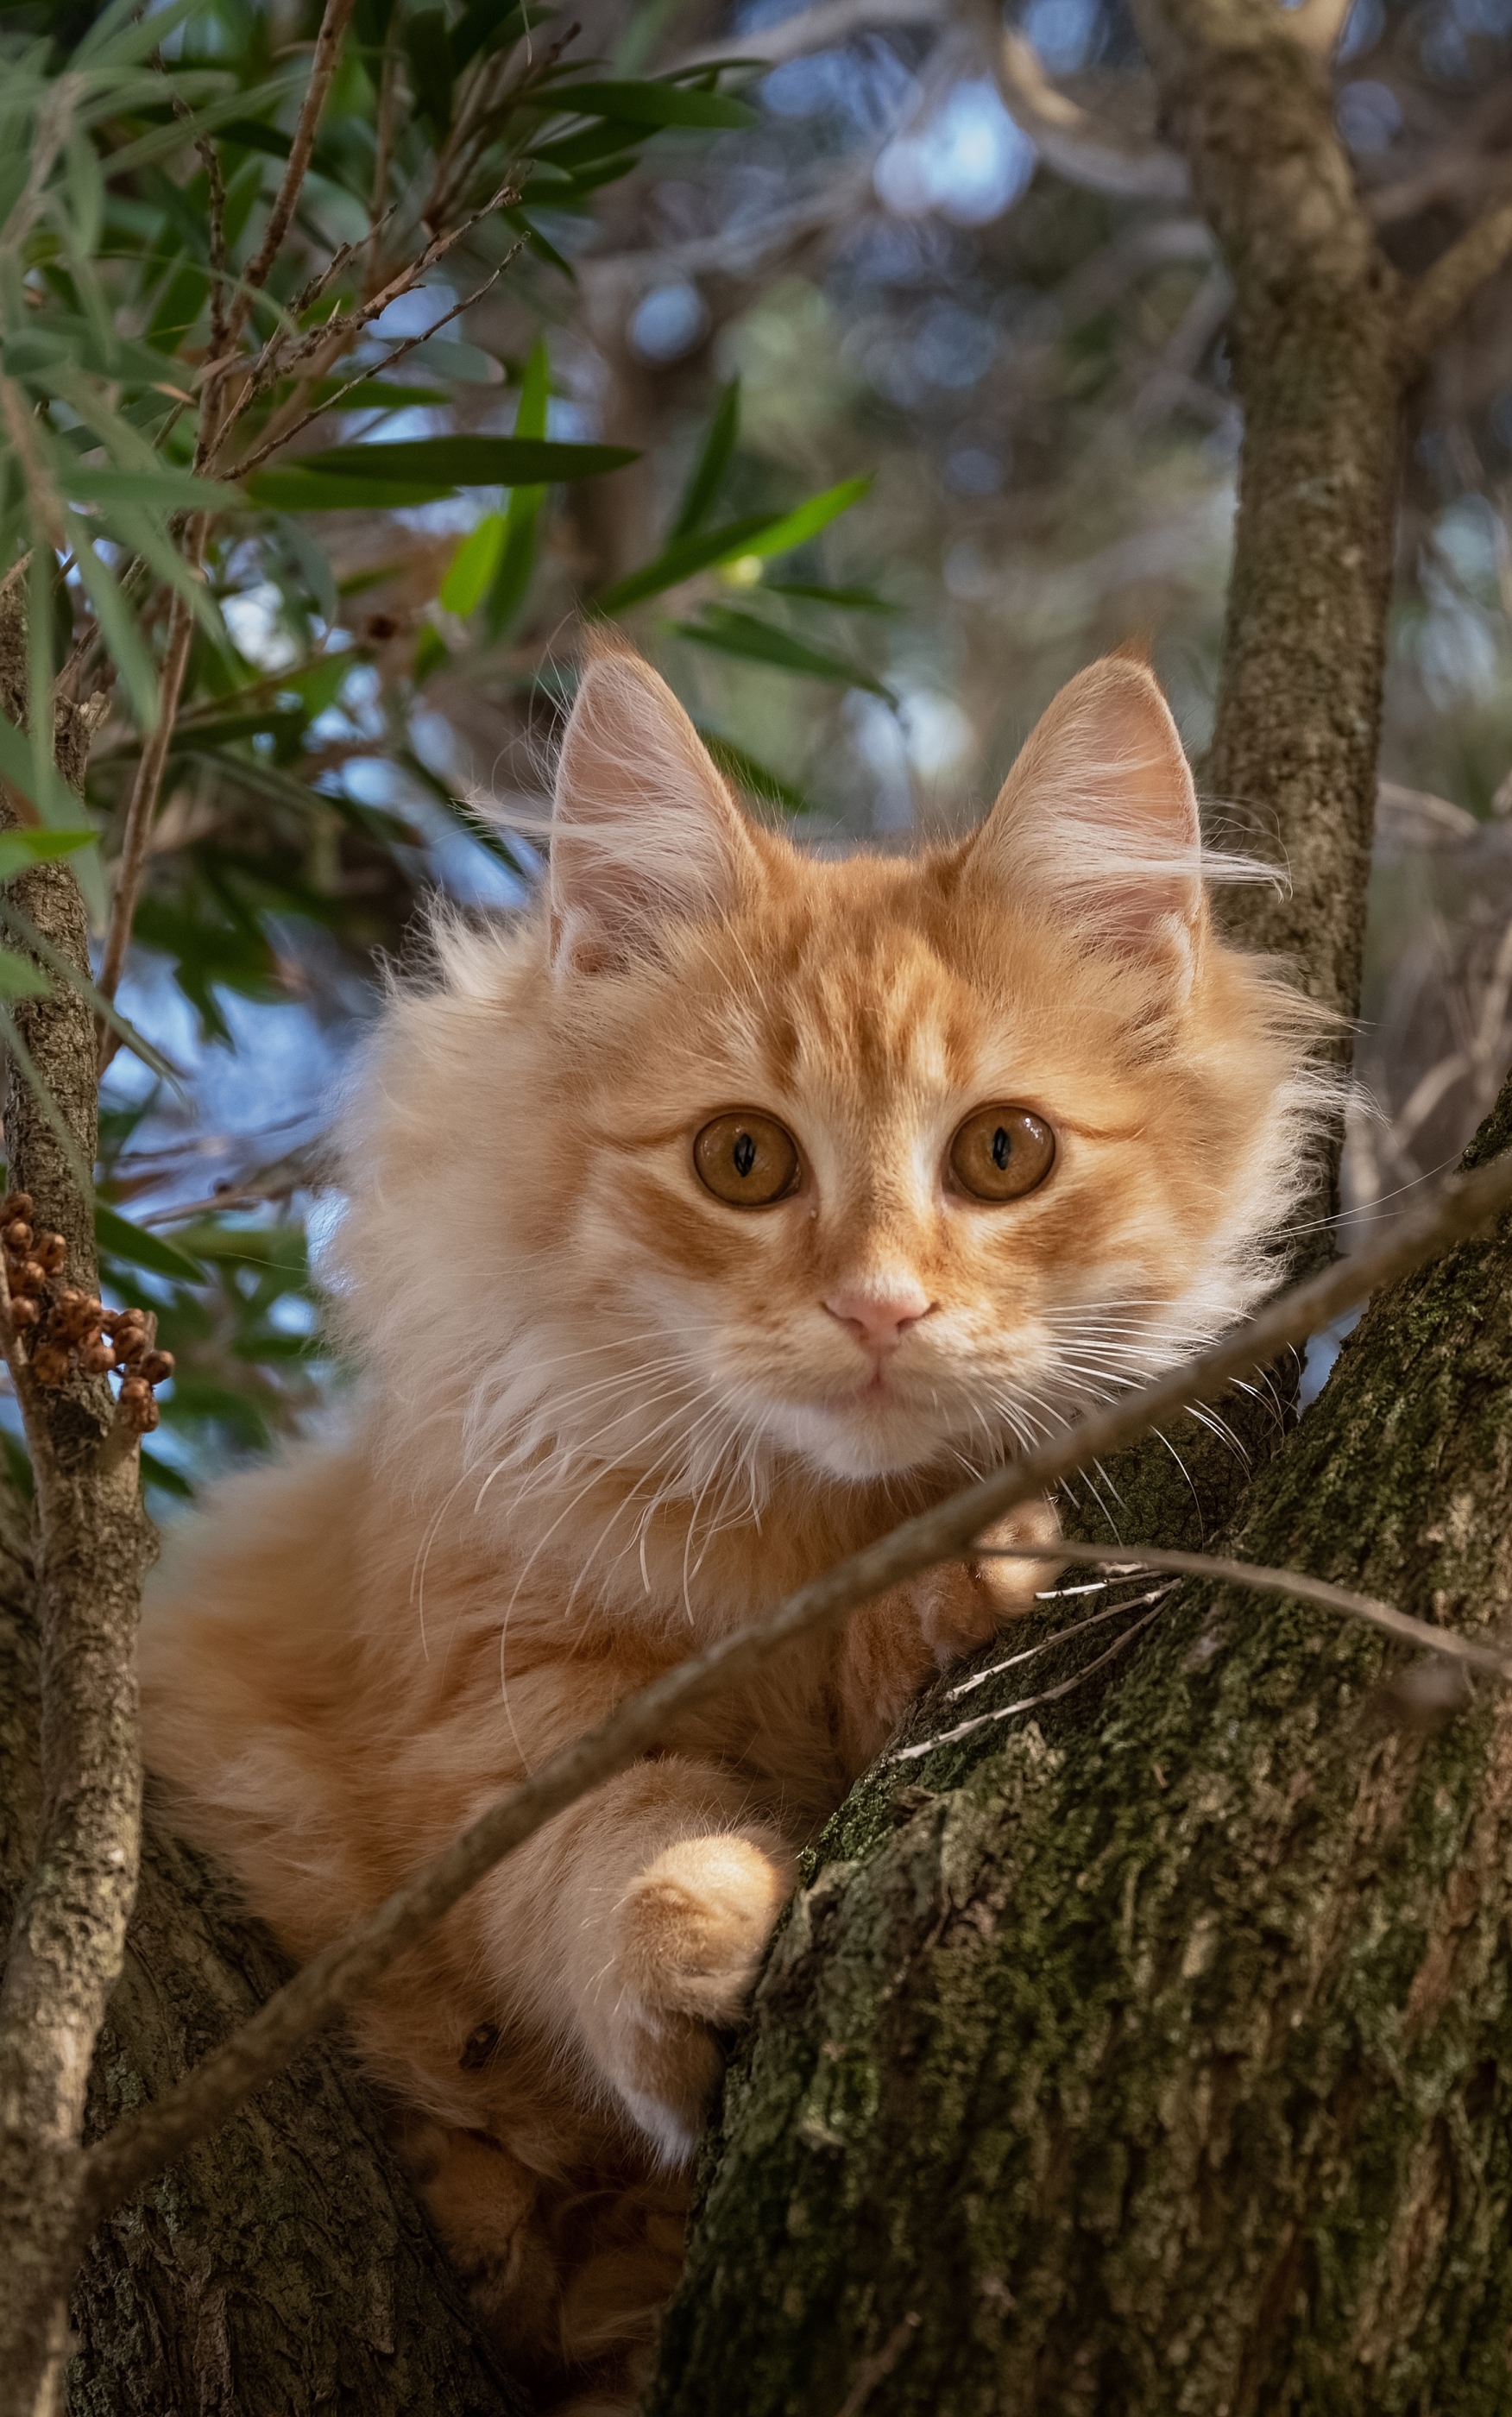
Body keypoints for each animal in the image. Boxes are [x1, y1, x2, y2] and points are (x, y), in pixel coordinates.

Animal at [147, 647, 1314, 2417]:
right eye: (744, 1160)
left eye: (1003, 1153)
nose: (879, 1308)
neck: (817, 1548)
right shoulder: (478, 1726)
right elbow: (611, 1847)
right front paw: (694, 1937)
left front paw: (956, 1584)